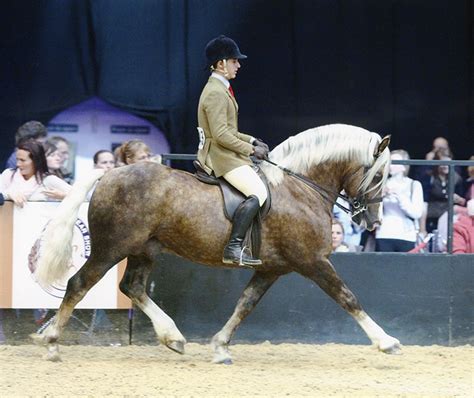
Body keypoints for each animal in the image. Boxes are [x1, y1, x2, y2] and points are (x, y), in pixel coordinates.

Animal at [30, 124, 400, 364]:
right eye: (380, 176)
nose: (373, 222)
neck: (300, 188)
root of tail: (109, 174)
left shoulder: (272, 269)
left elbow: (245, 304)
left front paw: (221, 347)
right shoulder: (313, 261)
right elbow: (347, 298)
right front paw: (387, 342)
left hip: (143, 250)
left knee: (132, 287)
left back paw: (173, 337)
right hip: (111, 248)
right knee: (79, 284)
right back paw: (52, 344)